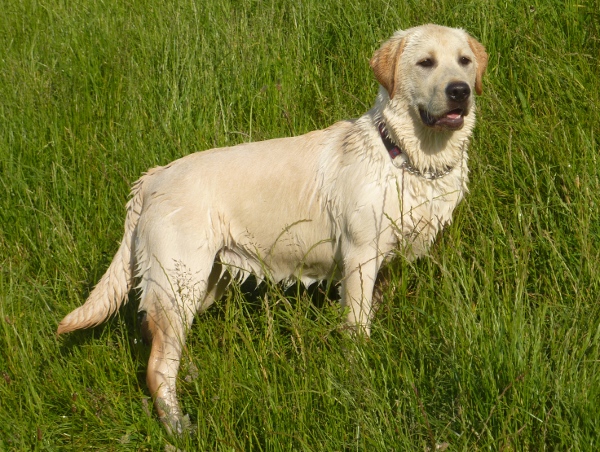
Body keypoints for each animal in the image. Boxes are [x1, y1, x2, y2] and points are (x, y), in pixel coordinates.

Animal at [57, 25, 488, 434]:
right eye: (426, 62)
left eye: (464, 61)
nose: (459, 91)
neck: (406, 155)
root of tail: (154, 176)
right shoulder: (360, 258)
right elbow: (356, 328)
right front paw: (359, 378)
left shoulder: (389, 265)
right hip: (181, 280)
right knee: (157, 365)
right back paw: (178, 426)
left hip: (202, 283)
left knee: (159, 337)